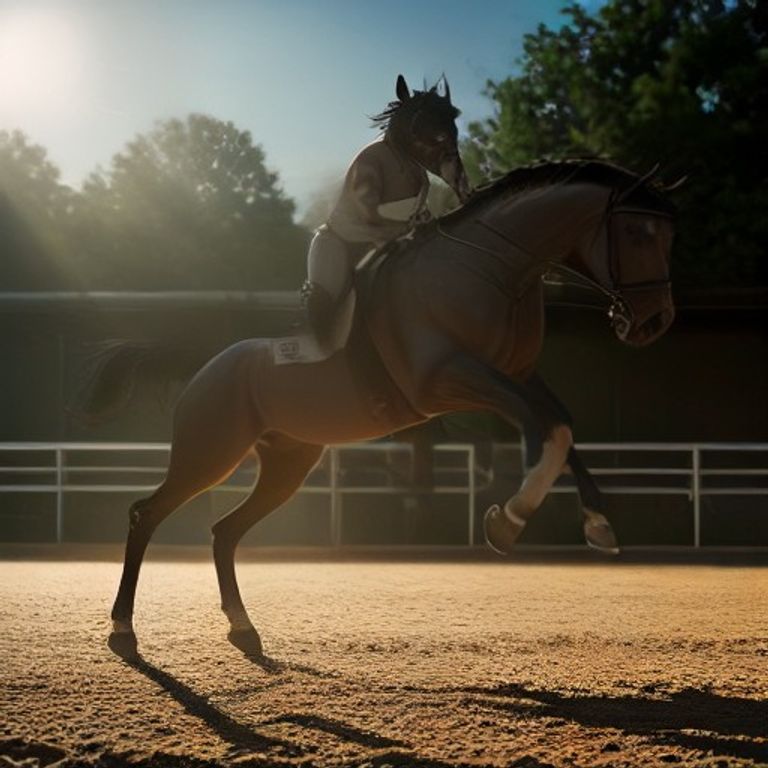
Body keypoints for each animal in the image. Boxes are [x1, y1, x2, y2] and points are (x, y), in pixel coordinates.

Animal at [82, 158, 675, 654]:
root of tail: (207, 364)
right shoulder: (447, 379)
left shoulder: (519, 375)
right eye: (636, 231)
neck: (494, 272)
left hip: (285, 465)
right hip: (208, 454)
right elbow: (542, 429)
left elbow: (562, 428)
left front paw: (598, 525)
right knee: (147, 514)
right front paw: (509, 519)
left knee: (224, 531)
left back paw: (242, 627)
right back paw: (123, 627)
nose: (654, 322)